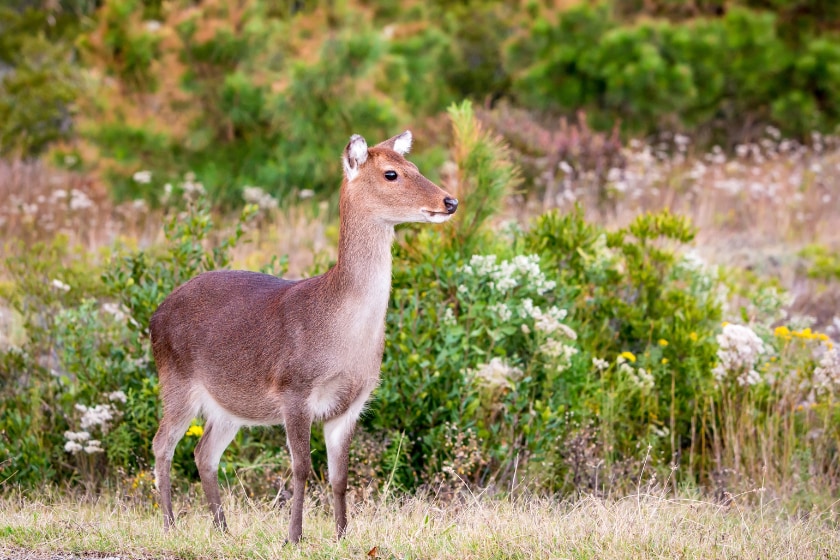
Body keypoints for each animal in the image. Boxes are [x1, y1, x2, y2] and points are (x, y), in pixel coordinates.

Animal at [148, 130, 456, 544]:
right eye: (391, 173)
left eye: (415, 166)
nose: (450, 201)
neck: (341, 337)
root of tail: (154, 315)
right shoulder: (293, 390)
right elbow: (302, 468)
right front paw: (293, 536)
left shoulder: (353, 403)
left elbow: (340, 475)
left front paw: (342, 535)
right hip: (176, 380)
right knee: (162, 444)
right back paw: (170, 525)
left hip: (228, 403)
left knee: (204, 452)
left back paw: (223, 529)